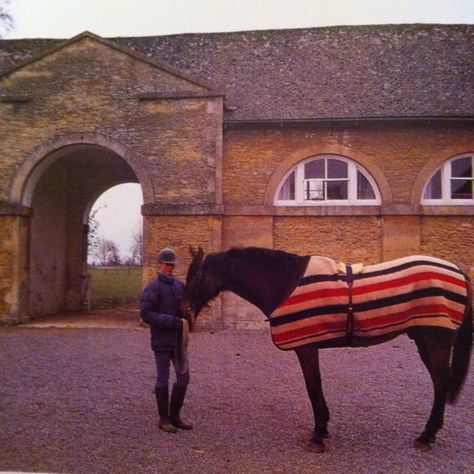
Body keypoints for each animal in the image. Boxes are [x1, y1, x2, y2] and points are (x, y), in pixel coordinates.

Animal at [180, 244, 472, 452]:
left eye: (194, 276)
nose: (183, 310)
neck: (285, 283)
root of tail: (456, 270)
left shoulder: (306, 347)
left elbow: (313, 387)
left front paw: (318, 433)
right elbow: (315, 387)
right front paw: (324, 427)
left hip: (436, 340)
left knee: (440, 384)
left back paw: (426, 435)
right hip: (425, 340)